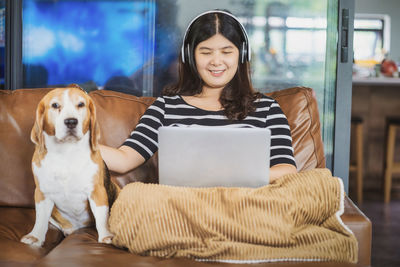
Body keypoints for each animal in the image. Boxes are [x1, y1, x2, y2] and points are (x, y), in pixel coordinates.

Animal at [20, 86, 119, 247]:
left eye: (81, 104)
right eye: (55, 105)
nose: (71, 122)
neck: (66, 152)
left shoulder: (97, 191)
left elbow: (101, 216)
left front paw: (106, 236)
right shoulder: (42, 193)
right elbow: (40, 218)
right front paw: (35, 236)